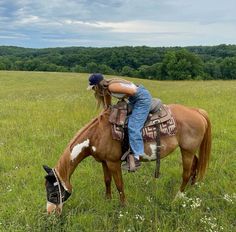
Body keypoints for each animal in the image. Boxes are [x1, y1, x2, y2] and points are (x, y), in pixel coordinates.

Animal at [43, 94, 211, 214]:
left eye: (54, 194)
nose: (50, 213)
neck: (96, 135)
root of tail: (196, 111)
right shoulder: (104, 162)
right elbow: (107, 181)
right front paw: (107, 201)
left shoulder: (113, 162)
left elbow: (119, 184)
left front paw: (123, 206)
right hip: (188, 150)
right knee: (195, 165)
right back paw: (191, 188)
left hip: (187, 151)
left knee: (186, 173)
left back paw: (177, 198)